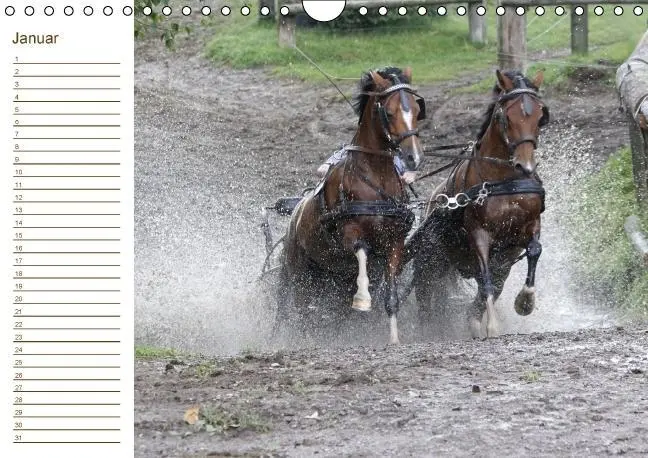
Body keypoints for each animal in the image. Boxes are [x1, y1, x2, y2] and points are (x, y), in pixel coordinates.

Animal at [275, 67, 425, 345]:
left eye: (418, 109)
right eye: (389, 112)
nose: (414, 157)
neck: (375, 181)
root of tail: (295, 212)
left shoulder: (394, 242)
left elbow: (391, 296)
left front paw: (394, 338)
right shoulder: (349, 234)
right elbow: (362, 249)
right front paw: (363, 299)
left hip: (329, 275)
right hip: (298, 271)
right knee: (299, 309)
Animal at [408, 69, 549, 338]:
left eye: (540, 116)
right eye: (506, 116)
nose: (526, 166)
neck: (505, 182)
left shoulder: (529, 227)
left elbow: (534, 252)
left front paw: (524, 302)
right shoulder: (479, 233)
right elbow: (485, 277)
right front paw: (491, 325)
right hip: (430, 262)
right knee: (425, 294)